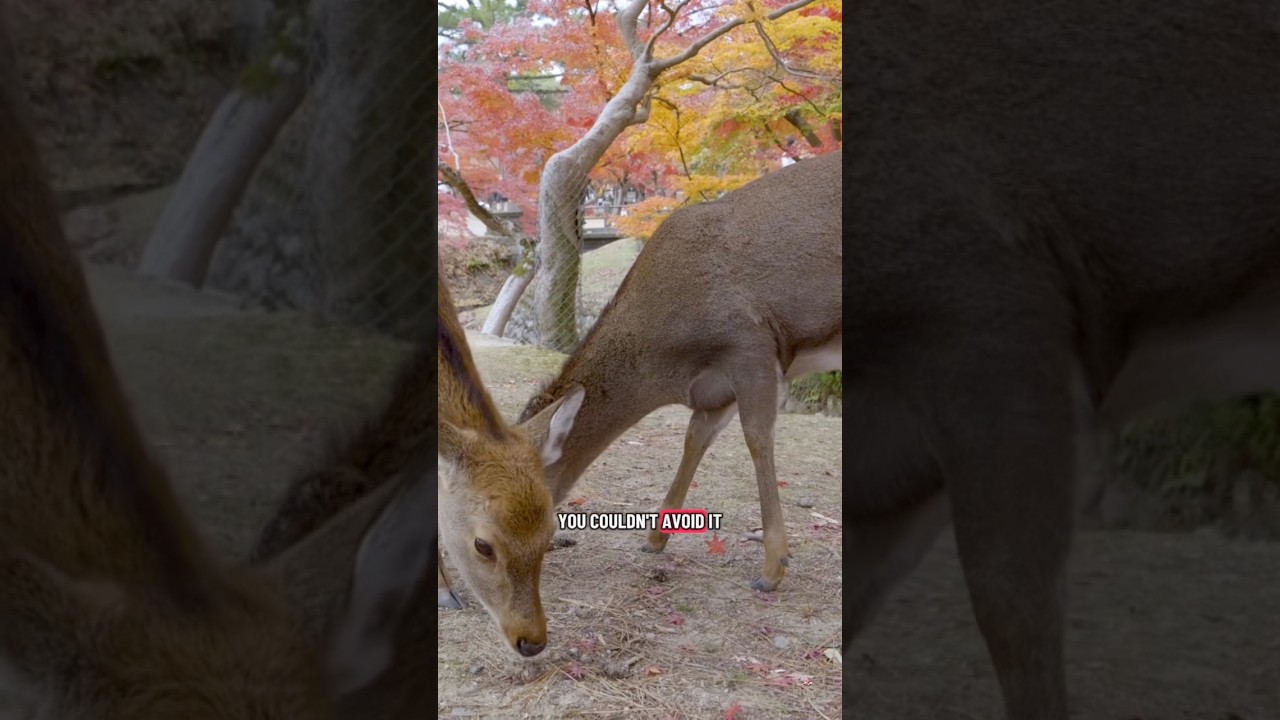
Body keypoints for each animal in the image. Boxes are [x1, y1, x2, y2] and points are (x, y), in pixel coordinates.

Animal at [517, 150, 842, 593]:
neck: (667, 365)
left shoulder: (750, 348)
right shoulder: (712, 392)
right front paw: (654, 539)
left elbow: (758, 439)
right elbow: (693, 441)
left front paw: (773, 567)